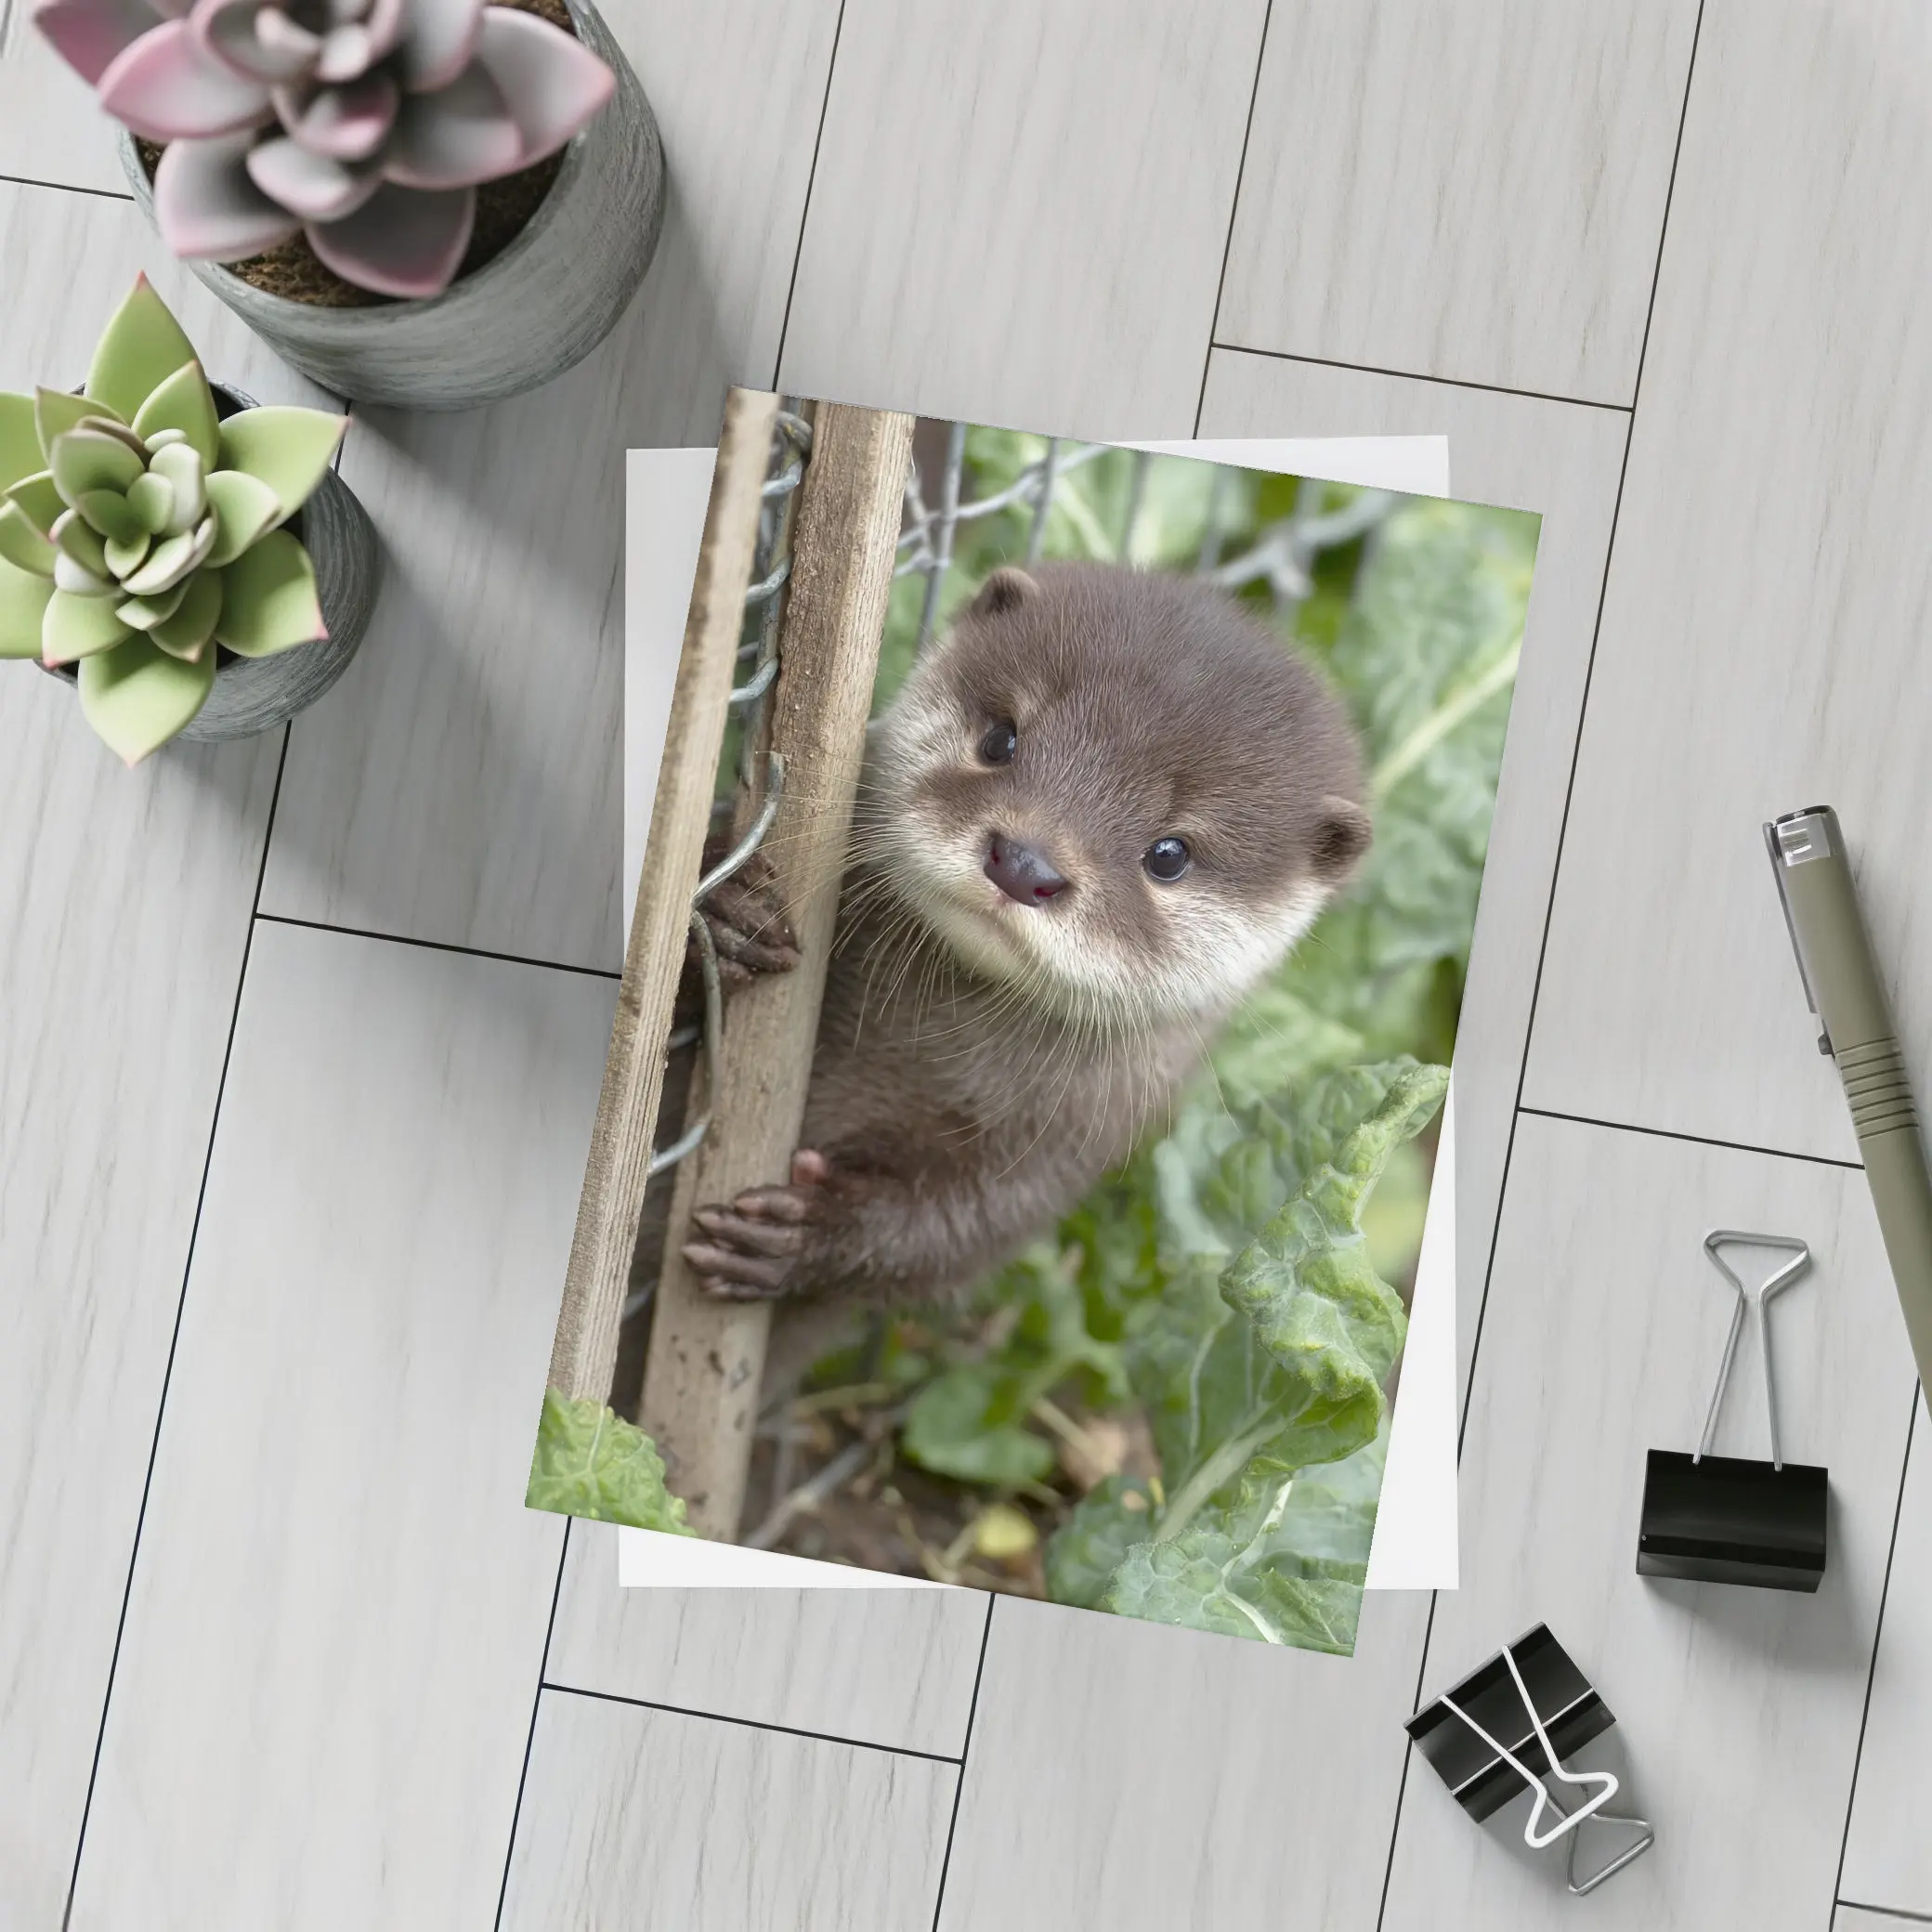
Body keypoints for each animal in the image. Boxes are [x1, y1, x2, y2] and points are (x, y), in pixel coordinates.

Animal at [678, 559, 1372, 1313]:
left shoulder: (1061, 1156)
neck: (919, 1054)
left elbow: (950, 1236)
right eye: (1000, 739)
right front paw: (726, 906)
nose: (1024, 864)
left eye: (1170, 854)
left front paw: (806, 1234)